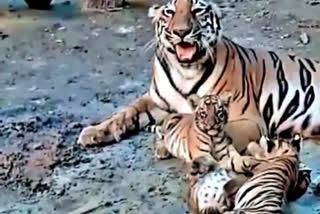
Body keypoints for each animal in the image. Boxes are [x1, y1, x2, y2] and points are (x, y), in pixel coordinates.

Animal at [77, 0, 320, 152]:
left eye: (197, 11)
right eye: (170, 12)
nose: (181, 32)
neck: (185, 71)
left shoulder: (248, 118)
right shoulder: (157, 101)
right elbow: (125, 112)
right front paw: (94, 132)